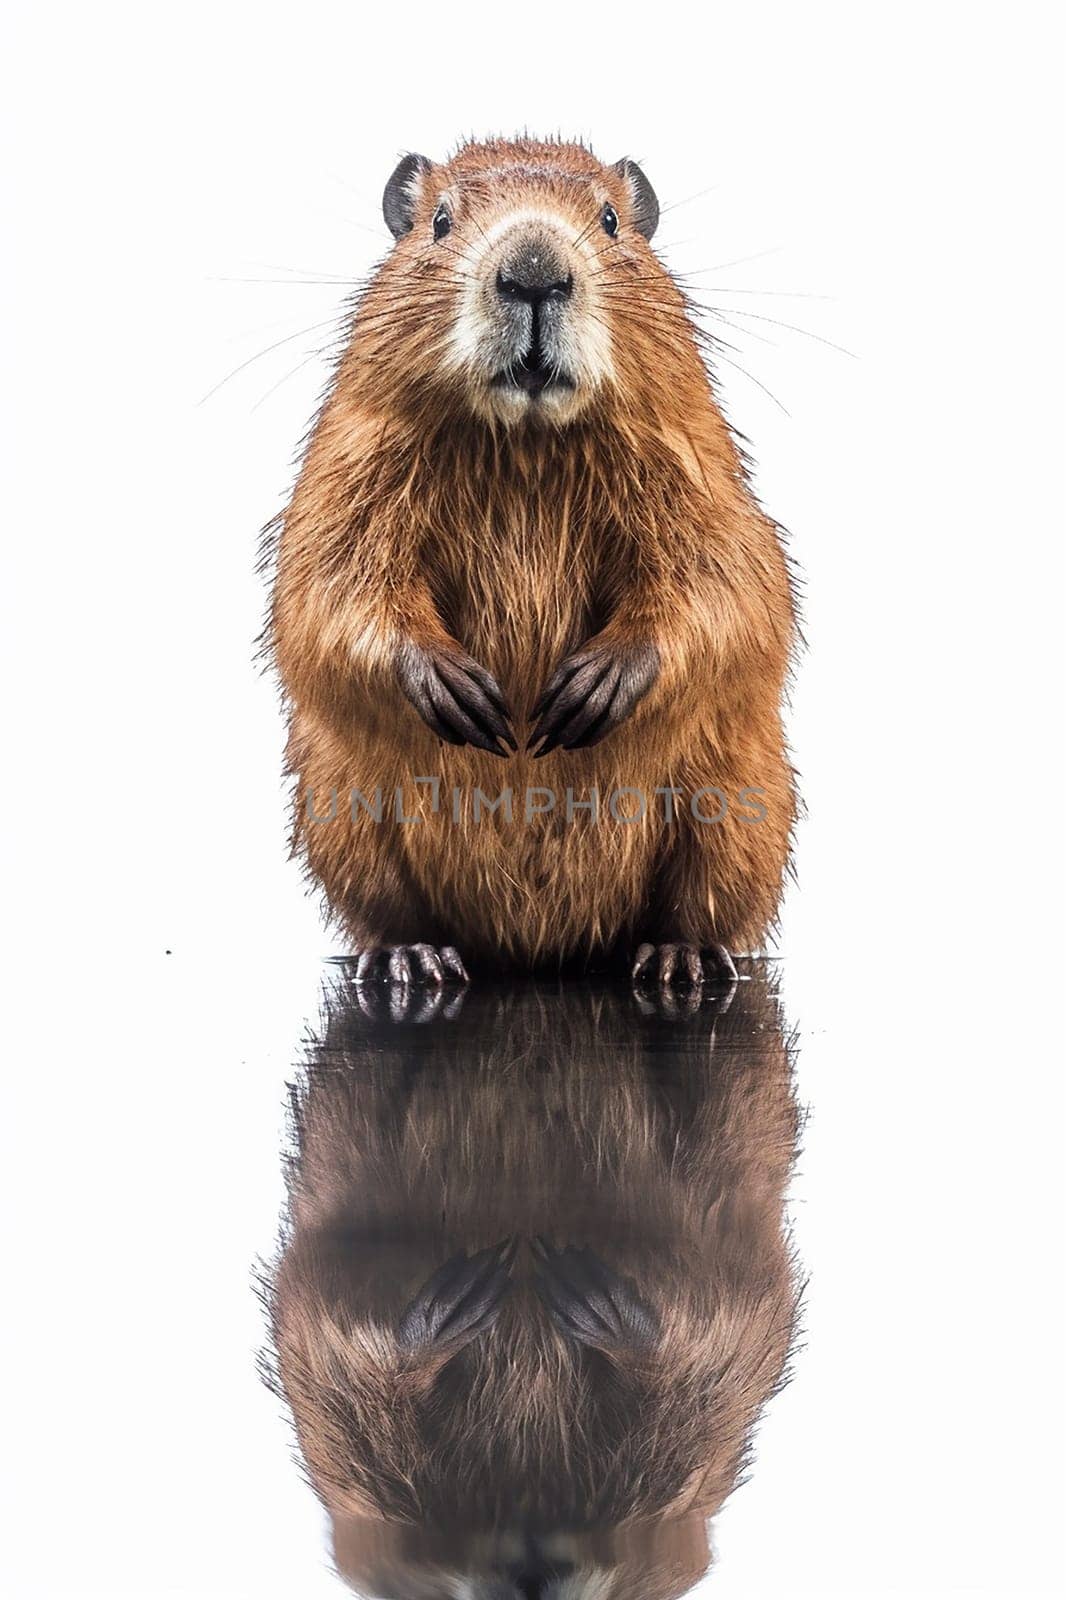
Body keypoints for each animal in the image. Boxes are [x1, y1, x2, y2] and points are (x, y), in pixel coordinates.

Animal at [265, 140, 797, 985]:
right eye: (440, 221)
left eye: (611, 220)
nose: (535, 272)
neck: (526, 446)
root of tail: (537, 953)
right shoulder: (350, 458)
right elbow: (327, 577)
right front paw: (460, 690)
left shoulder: (696, 461)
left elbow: (729, 577)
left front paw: (591, 687)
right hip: (339, 805)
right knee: (383, 903)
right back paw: (414, 960)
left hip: (740, 796)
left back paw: (678, 961)